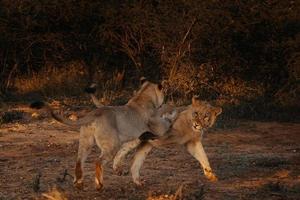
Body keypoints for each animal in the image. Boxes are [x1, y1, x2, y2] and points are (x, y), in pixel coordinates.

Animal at [30, 80, 165, 191]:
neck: (142, 97)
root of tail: (94, 113)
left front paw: (120, 170)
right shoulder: (140, 136)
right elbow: (126, 152)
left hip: (85, 142)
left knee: (79, 161)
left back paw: (79, 184)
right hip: (112, 144)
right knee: (98, 162)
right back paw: (99, 185)